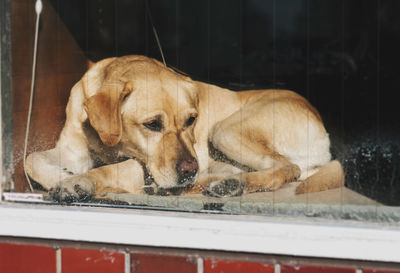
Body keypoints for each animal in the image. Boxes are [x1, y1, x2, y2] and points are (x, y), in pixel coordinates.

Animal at [25, 54, 344, 200]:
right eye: (152, 124)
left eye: (191, 120)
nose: (189, 170)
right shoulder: (72, 150)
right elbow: (31, 159)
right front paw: (60, 177)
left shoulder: (142, 165)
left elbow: (105, 170)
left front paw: (79, 182)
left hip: (224, 131)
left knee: (288, 169)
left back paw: (231, 185)